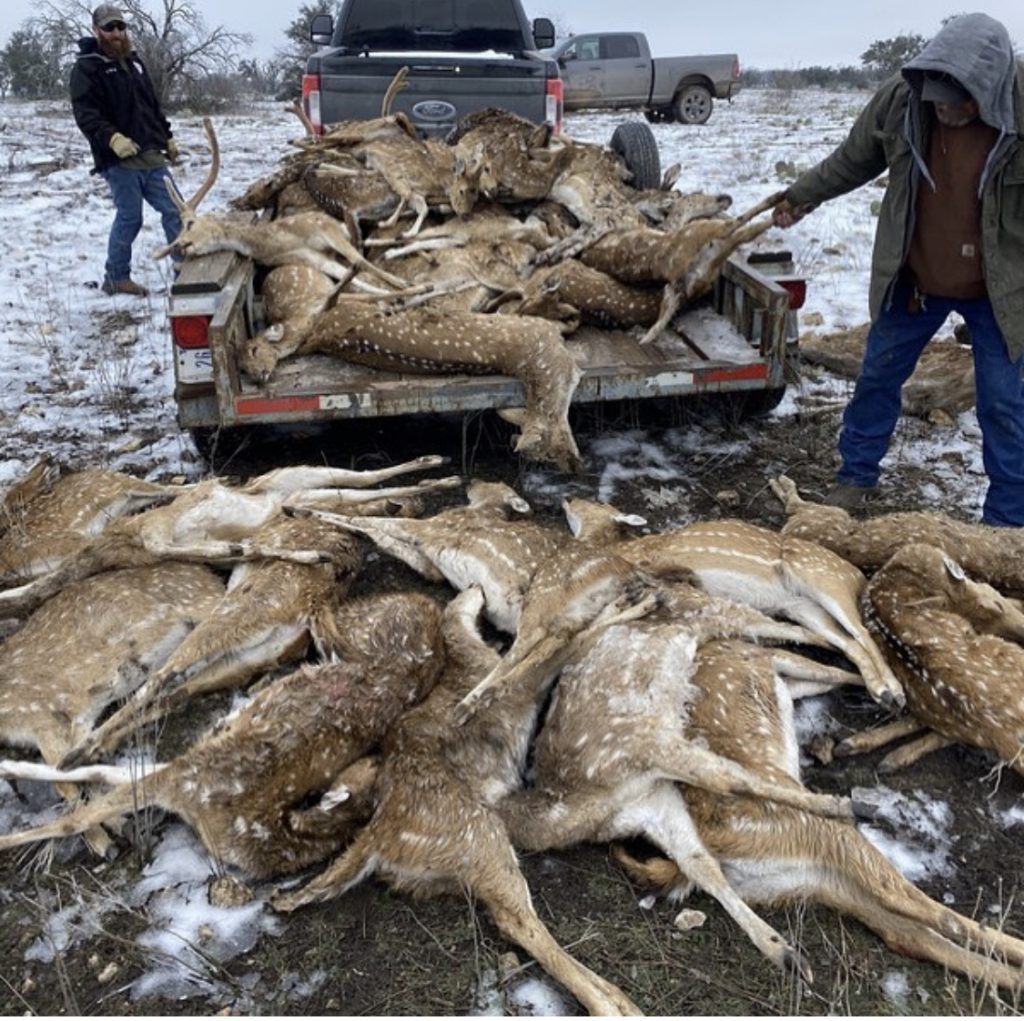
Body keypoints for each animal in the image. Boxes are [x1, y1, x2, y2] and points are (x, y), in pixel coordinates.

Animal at [1, 589, 448, 876]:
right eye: (373, 767)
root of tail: (431, 608)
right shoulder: (187, 773)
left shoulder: (184, 777)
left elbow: (82, 809)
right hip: (359, 623)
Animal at [610, 639, 1024, 987]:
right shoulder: (780, 660)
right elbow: (840, 673)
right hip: (823, 832)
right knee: (928, 911)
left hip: (801, 880)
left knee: (906, 933)